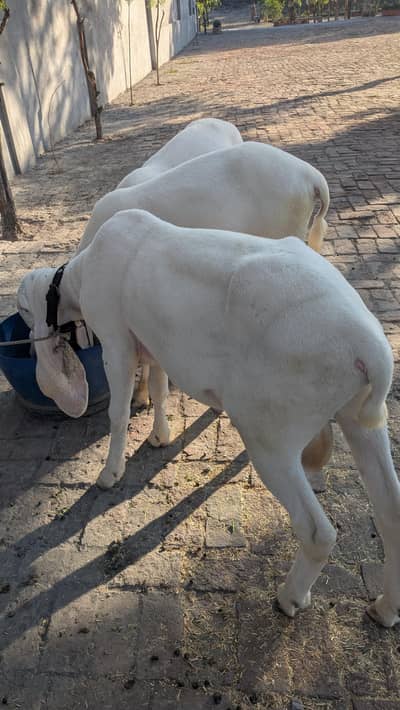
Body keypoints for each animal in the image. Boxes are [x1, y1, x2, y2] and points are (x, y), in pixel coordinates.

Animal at [17, 209, 400, 627]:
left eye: (23, 308)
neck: (81, 273)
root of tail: (370, 350)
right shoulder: (153, 343)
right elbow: (159, 388)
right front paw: (160, 437)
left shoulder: (116, 341)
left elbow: (118, 413)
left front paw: (109, 473)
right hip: (360, 418)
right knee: (391, 512)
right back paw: (384, 608)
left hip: (272, 435)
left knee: (317, 532)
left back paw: (290, 597)